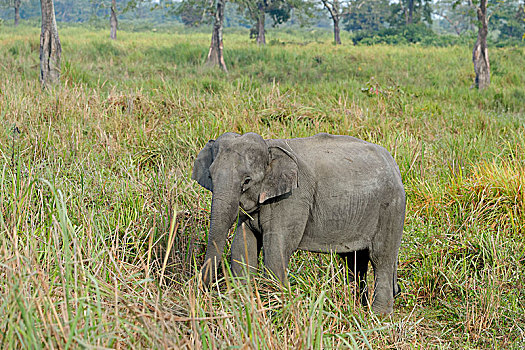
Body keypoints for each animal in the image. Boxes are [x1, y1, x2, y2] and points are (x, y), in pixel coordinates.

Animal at [192, 132, 406, 314]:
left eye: (247, 180)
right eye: (210, 176)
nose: (203, 293)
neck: (270, 147)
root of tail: (394, 165)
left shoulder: (293, 198)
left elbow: (275, 252)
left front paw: (274, 311)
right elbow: (242, 246)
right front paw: (243, 307)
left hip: (391, 208)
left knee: (380, 258)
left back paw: (378, 316)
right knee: (354, 260)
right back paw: (357, 309)